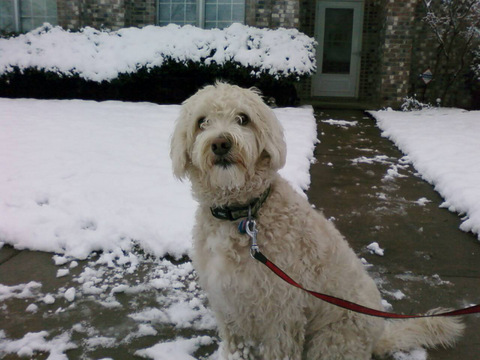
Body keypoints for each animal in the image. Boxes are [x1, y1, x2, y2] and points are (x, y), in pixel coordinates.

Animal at [170, 83, 464, 358]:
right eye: (201, 121)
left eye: (243, 118)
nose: (221, 143)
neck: (242, 212)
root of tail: (376, 337)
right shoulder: (228, 305)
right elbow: (236, 347)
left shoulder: (281, 310)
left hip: (332, 339)